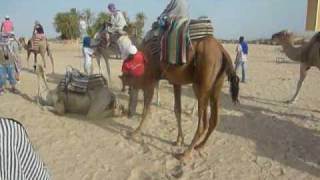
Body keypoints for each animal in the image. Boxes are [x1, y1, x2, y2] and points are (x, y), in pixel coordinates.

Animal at [123, 32, 240, 160]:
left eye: (129, 91)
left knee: (202, 123)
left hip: (202, 84)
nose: (128, 113)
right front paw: (179, 140)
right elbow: (177, 110)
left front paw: (135, 132)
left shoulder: (151, 79)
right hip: (216, 86)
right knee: (213, 119)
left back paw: (185, 153)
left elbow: (146, 108)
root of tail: (222, 50)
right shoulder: (176, 82)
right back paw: (199, 146)